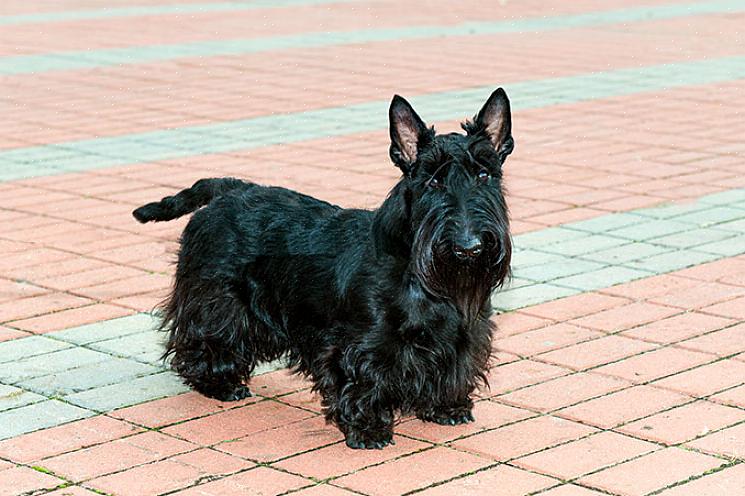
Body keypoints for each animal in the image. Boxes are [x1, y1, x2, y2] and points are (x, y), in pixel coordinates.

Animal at [134, 90, 516, 450]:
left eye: (484, 174)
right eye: (432, 182)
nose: (468, 247)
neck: (426, 279)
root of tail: (230, 189)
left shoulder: (461, 336)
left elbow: (453, 368)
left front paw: (446, 407)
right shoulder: (359, 345)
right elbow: (363, 382)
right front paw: (368, 429)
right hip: (216, 299)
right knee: (202, 337)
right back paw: (219, 383)